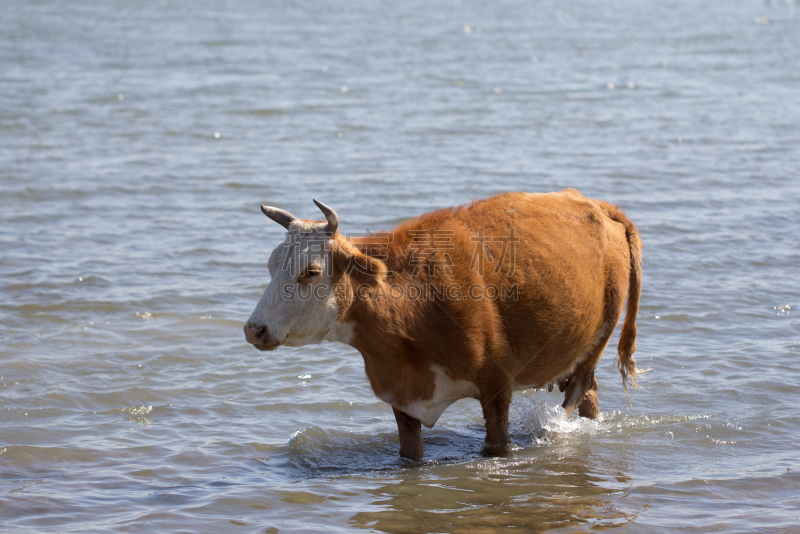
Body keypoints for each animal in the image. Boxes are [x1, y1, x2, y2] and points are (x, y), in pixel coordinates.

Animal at [244, 191, 644, 462]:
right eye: (271, 265)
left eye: (311, 271)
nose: (254, 330)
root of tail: (595, 204)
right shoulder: (401, 396)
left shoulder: (496, 388)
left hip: (597, 341)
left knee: (580, 391)